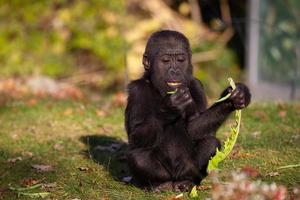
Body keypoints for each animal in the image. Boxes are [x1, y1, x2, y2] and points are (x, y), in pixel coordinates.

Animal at [124, 30, 251, 192]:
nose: (175, 70)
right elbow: (135, 136)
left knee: (209, 143)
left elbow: (194, 128)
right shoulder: (136, 90)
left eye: (180, 60)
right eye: (165, 61)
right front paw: (170, 107)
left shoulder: (196, 85)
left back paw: (186, 181)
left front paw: (232, 99)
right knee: (138, 156)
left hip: (185, 169)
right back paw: (160, 184)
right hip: (165, 174)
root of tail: (174, 179)